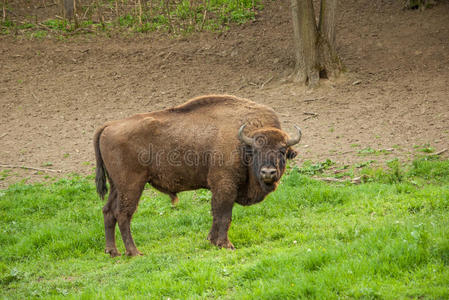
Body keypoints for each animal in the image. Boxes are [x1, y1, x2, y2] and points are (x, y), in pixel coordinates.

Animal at [94, 94, 300, 255]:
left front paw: (211, 240)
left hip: (116, 186)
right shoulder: (224, 186)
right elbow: (224, 215)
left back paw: (112, 251)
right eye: (255, 150)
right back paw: (134, 252)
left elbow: (216, 214)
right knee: (123, 214)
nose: (268, 172)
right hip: (131, 185)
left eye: (282, 151)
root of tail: (109, 126)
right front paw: (226, 244)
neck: (242, 143)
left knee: (108, 211)